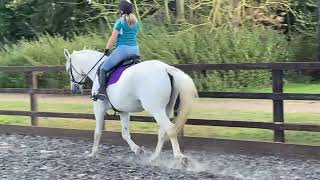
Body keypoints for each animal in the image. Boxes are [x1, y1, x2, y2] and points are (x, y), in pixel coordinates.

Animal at [63, 49, 196, 166]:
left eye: (69, 69)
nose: (74, 89)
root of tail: (165, 68)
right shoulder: (123, 111)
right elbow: (125, 133)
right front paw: (138, 150)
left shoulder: (99, 109)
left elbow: (98, 132)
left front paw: (93, 153)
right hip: (166, 109)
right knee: (162, 132)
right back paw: (153, 158)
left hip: (156, 110)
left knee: (170, 129)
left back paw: (181, 158)